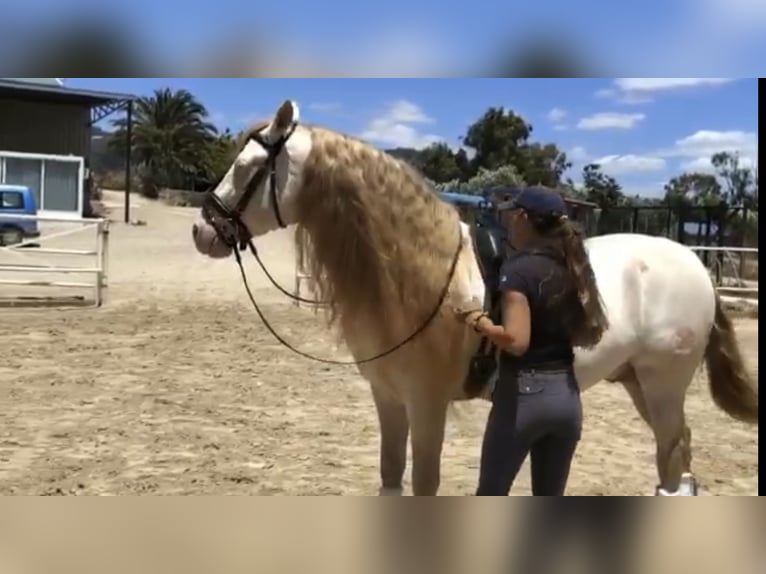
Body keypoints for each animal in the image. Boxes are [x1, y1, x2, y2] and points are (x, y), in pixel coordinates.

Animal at [190, 101, 756, 498]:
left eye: (250, 167)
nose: (202, 231)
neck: (417, 273)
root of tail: (694, 263)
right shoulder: (388, 399)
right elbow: (390, 477)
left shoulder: (427, 404)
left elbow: (424, 485)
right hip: (638, 382)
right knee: (676, 457)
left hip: (663, 384)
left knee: (673, 456)